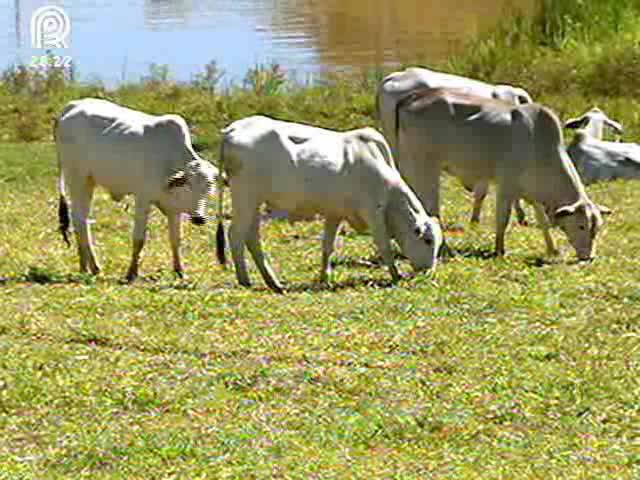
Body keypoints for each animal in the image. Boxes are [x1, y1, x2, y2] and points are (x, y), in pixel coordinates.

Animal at [53, 99, 218, 284]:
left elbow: (175, 240)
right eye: (188, 184)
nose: (199, 218)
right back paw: (93, 267)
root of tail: (72, 105)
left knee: (81, 219)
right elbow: (139, 239)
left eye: (209, 187)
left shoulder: (173, 210)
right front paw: (131, 273)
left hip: (89, 182)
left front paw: (180, 271)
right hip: (77, 178)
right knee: (79, 219)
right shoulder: (142, 199)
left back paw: (85, 266)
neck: (169, 161)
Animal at [212, 115, 442, 292]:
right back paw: (245, 280)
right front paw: (395, 275)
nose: (428, 272)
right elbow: (384, 246)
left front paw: (324, 278)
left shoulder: (335, 214)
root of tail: (232, 129)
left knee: (251, 237)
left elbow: (327, 247)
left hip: (254, 203)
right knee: (236, 235)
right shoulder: (373, 213)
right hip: (245, 197)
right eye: (428, 240)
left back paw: (273, 282)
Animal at [396, 89, 604, 262]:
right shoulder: (506, 186)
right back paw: (444, 247)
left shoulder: (531, 192)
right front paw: (499, 250)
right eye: (581, 226)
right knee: (432, 208)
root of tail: (412, 98)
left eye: (596, 228)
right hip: (426, 167)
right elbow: (502, 219)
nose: (589, 257)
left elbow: (542, 220)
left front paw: (552, 249)